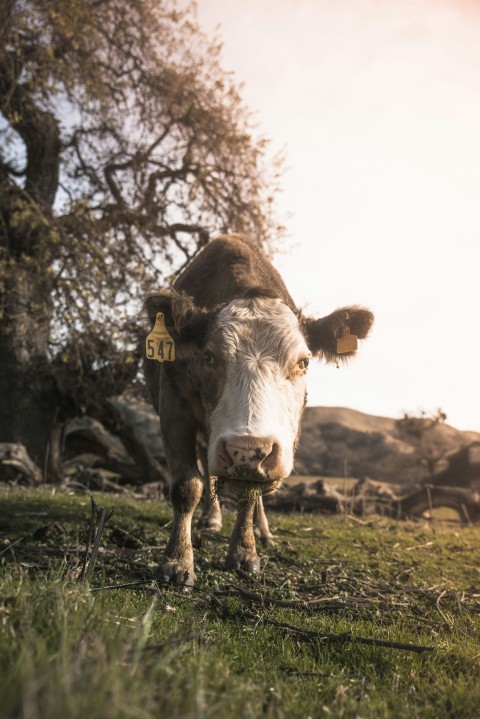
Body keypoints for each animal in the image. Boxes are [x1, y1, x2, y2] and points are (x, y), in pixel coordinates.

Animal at [144, 236, 374, 592]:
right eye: (208, 357)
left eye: (304, 362)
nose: (247, 450)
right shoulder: (173, 402)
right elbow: (187, 485)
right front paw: (177, 561)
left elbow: (251, 496)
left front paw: (244, 551)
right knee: (208, 471)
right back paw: (212, 518)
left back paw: (262, 531)